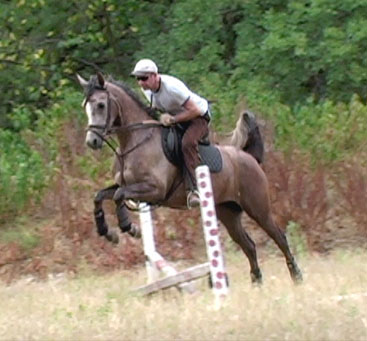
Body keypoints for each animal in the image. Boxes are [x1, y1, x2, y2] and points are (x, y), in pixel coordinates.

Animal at [77, 72, 302, 284]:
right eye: (86, 106)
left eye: (101, 104)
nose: (92, 141)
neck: (136, 141)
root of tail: (250, 158)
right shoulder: (127, 186)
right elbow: (100, 196)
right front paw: (108, 232)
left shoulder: (154, 190)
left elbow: (118, 196)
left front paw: (129, 228)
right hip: (228, 212)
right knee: (249, 245)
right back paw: (256, 282)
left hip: (258, 208)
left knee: (279, 237)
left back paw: (296, 276)